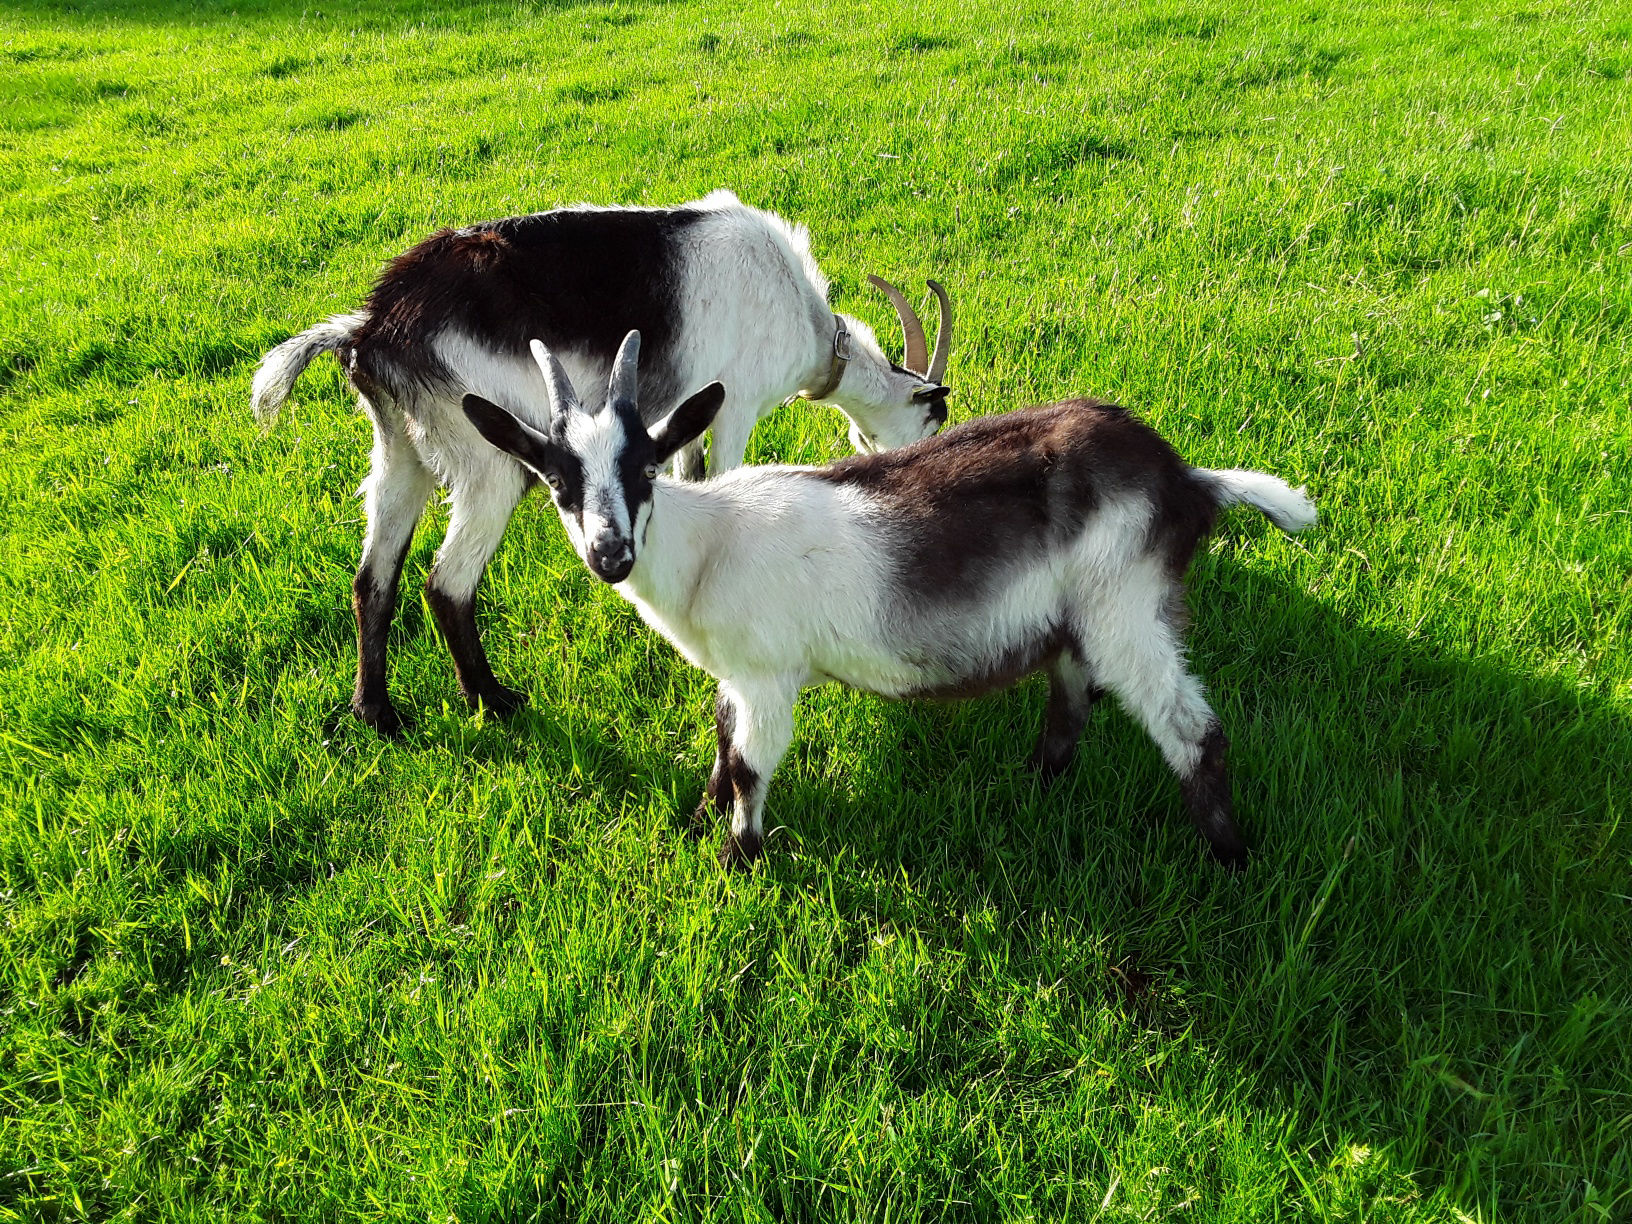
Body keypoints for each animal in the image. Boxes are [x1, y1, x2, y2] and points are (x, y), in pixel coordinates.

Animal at [246, 186, 953, 734]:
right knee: (446, 583)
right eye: (935, 414)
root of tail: (371, 328)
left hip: (401, 451)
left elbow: (692, 482)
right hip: (488, 460)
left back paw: (378, 713)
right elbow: (727, 478)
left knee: (374, 577)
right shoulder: (736, 404)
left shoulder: (682, 424)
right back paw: (494, 702)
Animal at [456, 331, 1312, 874]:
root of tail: (1185, 478)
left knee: (1193, 731)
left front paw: (738, 863)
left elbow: (749, 764)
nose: (611, 555)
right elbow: (721, 744)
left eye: (643, 468)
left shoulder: (768, 673)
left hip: (1125, 604)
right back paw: (1034, 785)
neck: (707, 544)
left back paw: (1232, 861)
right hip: (1082, 616)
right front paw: (700, 820)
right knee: (1072, 702)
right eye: (557, 481)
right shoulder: (736, 674)